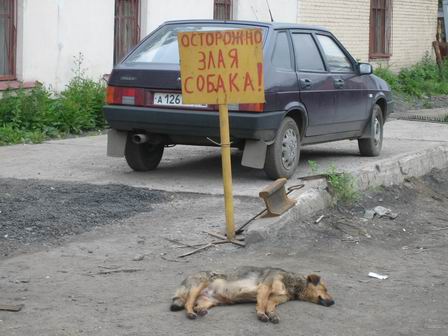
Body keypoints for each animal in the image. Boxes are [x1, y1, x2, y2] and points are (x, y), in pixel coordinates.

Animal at [170, 266, 334, 322]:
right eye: (325, 289)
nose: (333, 302)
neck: (291, 283)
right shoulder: (265, 288)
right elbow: (262, 304)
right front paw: (262, 314)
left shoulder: (275, 298)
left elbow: (270, 306)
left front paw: (272, 315)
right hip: (198, 286)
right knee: (188, 303)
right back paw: (190, 313)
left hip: (210, 300)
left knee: (197, 306)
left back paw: (201, 311)